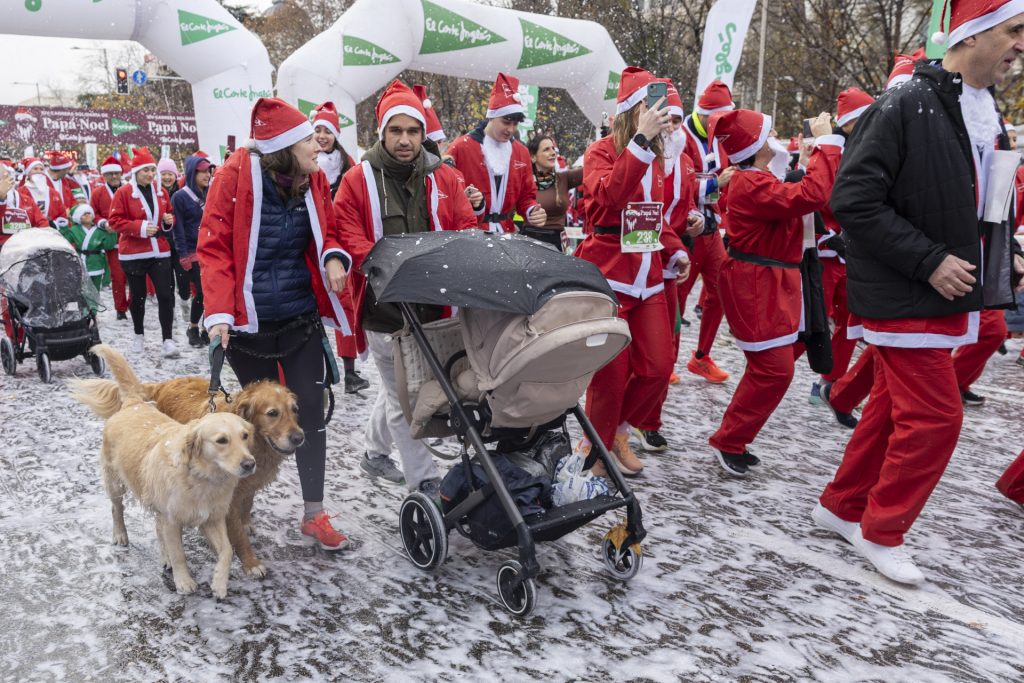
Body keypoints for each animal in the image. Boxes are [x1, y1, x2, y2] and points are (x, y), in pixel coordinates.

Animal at [71, 355, 304, 578]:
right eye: (272, 413)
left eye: (295, 410)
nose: (299, 438)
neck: (258, 447)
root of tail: (165, 384)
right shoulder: (227, 501)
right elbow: (237, 535)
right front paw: (251, 563)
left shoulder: (246, 488)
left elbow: (246, 508)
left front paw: (245, 525)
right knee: (118, 507)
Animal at [78, 345, 256, 598]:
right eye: (222, 440)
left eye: (245, 436)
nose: (250, 464)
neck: (202, 479)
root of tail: (133, 403)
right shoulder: (173, 519)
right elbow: (179, 553)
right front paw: (184, 582)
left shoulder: (212, 517)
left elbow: (227, 551)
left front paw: (219, 583)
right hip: (115, 482)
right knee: (116, 509)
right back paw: (120, 535)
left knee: (156, 527)